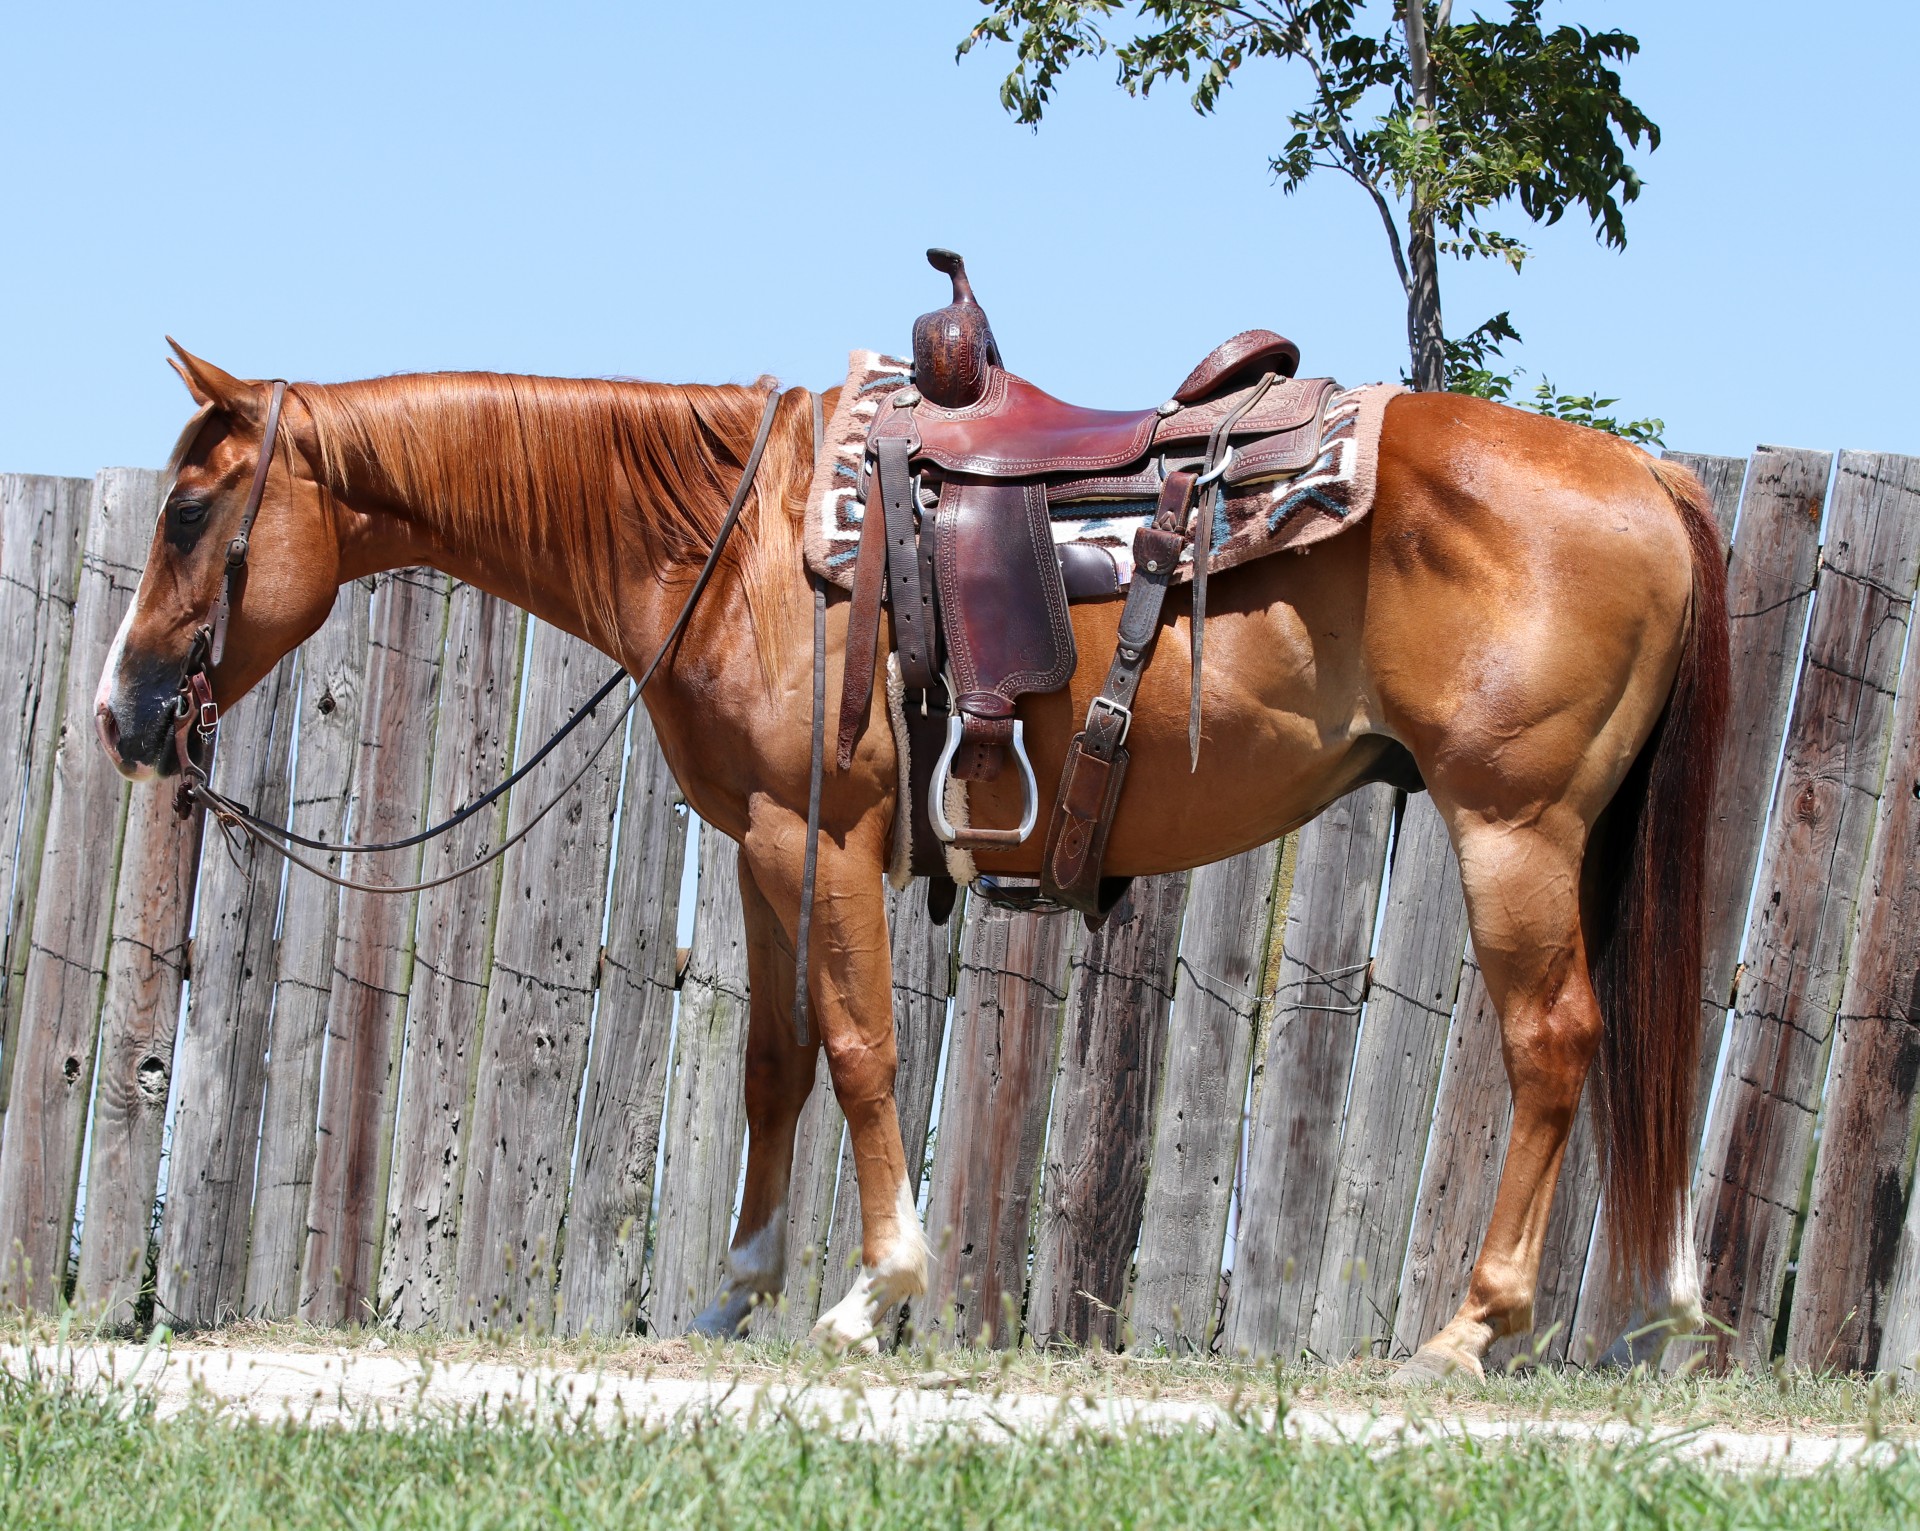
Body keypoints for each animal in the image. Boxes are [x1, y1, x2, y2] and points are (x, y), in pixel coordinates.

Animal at [93, 345, 1728, 1375]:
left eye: (189, 509)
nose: (120, 712)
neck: (739, 544)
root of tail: (1654, 479)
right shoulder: (758, 846)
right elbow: (776, 1060)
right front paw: (736, 1289)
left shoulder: (825, 839)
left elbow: (865, 1043)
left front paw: (874, 1291)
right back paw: (1647, 1314)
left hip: (1513, 829)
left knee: (1554, 1044)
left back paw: (1477, 1323)